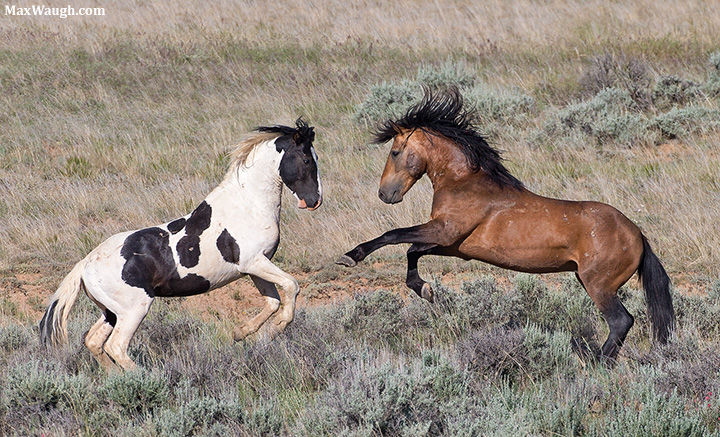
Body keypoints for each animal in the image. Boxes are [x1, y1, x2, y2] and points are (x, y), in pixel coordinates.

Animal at [40, 118, 323, 371]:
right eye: (307, 160)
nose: (314, 201)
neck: (248, 203)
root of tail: (85, 265)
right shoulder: (254, 262)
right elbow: (291, 285)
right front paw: (276, 327)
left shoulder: (254, 266)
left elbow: (272, 300)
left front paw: (245, 333)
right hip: (134, 310)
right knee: (116, 346)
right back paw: (145, 378)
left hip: (111, 311)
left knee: (93, 341)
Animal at [337, 88, 674, 362]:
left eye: (395, 152)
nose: (385, 194)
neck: (464, 182)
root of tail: (637, 234)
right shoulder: (454, 245)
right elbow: (412, 250)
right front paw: (426, 290)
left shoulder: (444, 230)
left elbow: (394, 235)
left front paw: (351, 256)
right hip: (587, 279)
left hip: (599, 285)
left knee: (621, 321)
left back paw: (596, 361)